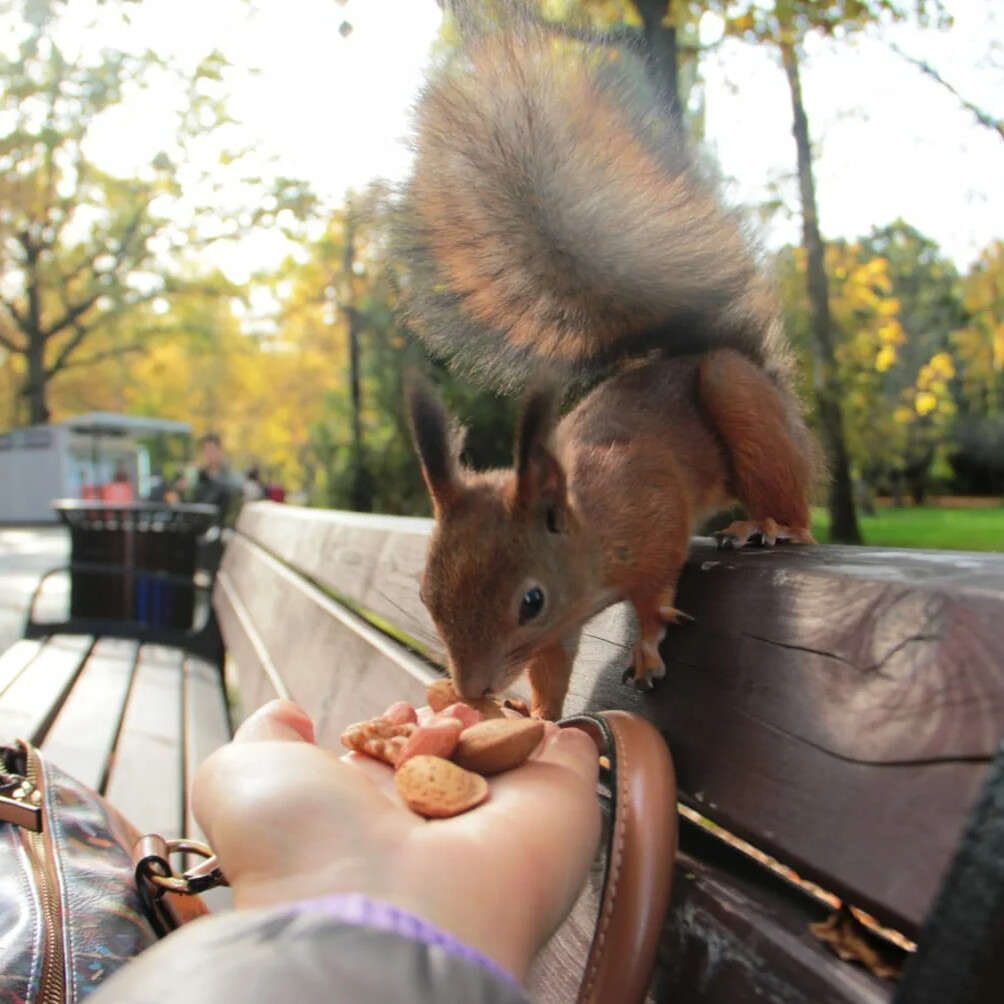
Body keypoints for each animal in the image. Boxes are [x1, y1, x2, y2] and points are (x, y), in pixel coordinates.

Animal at [389, 13, 815, 722]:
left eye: (530, 600)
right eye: (426, 595)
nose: (473, 691)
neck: (586, 528)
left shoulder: (654, 508)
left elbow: (655, 587)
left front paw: (645, 646)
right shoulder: (560, 632)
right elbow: (552, 669)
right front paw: (537, 717)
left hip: (739, 397)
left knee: (794, 503)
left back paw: (769, 525)